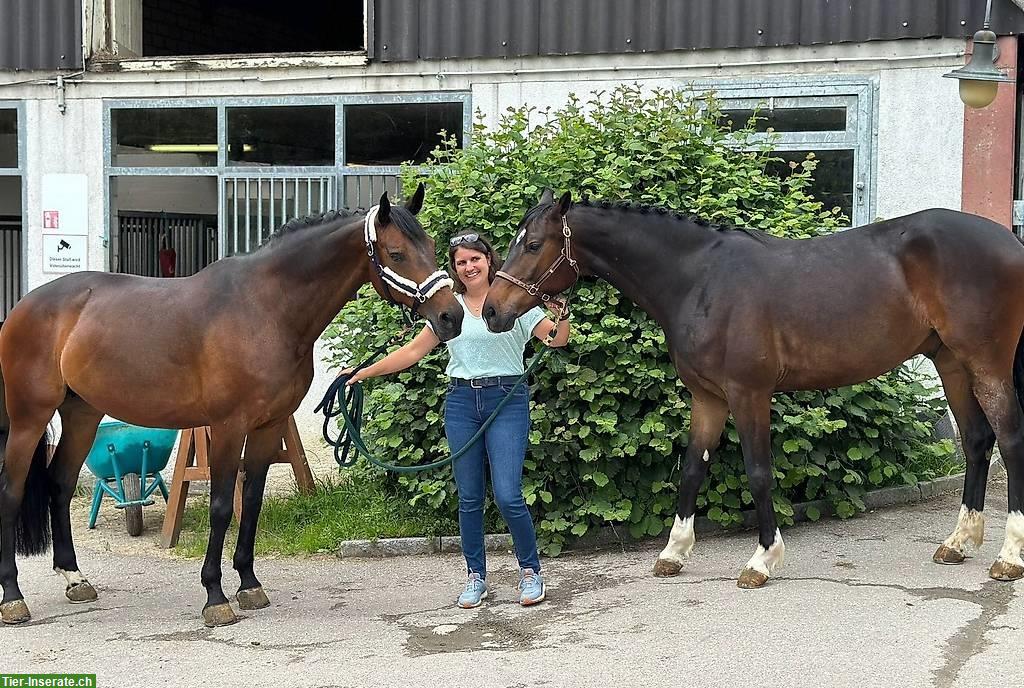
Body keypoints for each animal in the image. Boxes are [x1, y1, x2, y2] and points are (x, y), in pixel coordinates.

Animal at [0, 185, 464, 626]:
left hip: (82, 414)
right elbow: (223, 506)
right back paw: (13, 598)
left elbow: (252, 501)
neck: (266, 309)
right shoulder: (228, 426)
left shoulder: (268, 425)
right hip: (29, 418)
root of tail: (25, 305)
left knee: (60, 484)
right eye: (397, 253)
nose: (452, 317)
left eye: (432, 247)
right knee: (12, 489)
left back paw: (74, 578)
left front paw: (249, 584)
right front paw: (215, 597)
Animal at [483, 190, 1024, 589]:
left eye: (533, 244)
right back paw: (957, 543)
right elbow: (691, 470)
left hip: (986, 364)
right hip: (951, 362)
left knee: (1009, 441)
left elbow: (758, 471)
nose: (490, 310)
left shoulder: (748, 394)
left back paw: (1008, 556)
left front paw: (762, 559)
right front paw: (673, 553)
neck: (699, 279)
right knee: (977, 441)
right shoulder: (707, 398)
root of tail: (1011, 243)